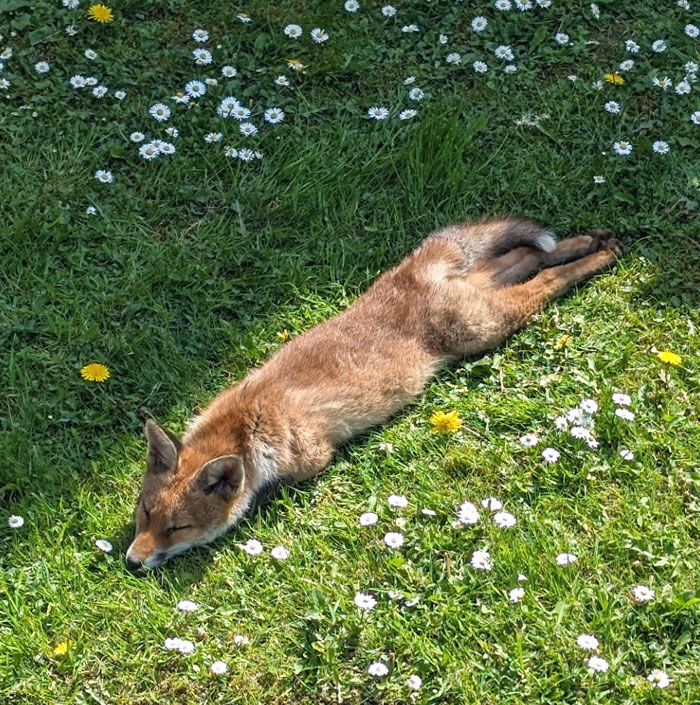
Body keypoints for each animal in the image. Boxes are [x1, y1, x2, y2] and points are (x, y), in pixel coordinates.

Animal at [126, 217, 622, 569]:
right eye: (145, 514)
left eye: (178, 527)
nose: (132, 562)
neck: (245, 425)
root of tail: (409, 275)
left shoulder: (313, 457)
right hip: (484, 294)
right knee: (525, 255)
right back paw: (585, 241)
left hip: (487, 326)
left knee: (545, 282)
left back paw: (598, 258)